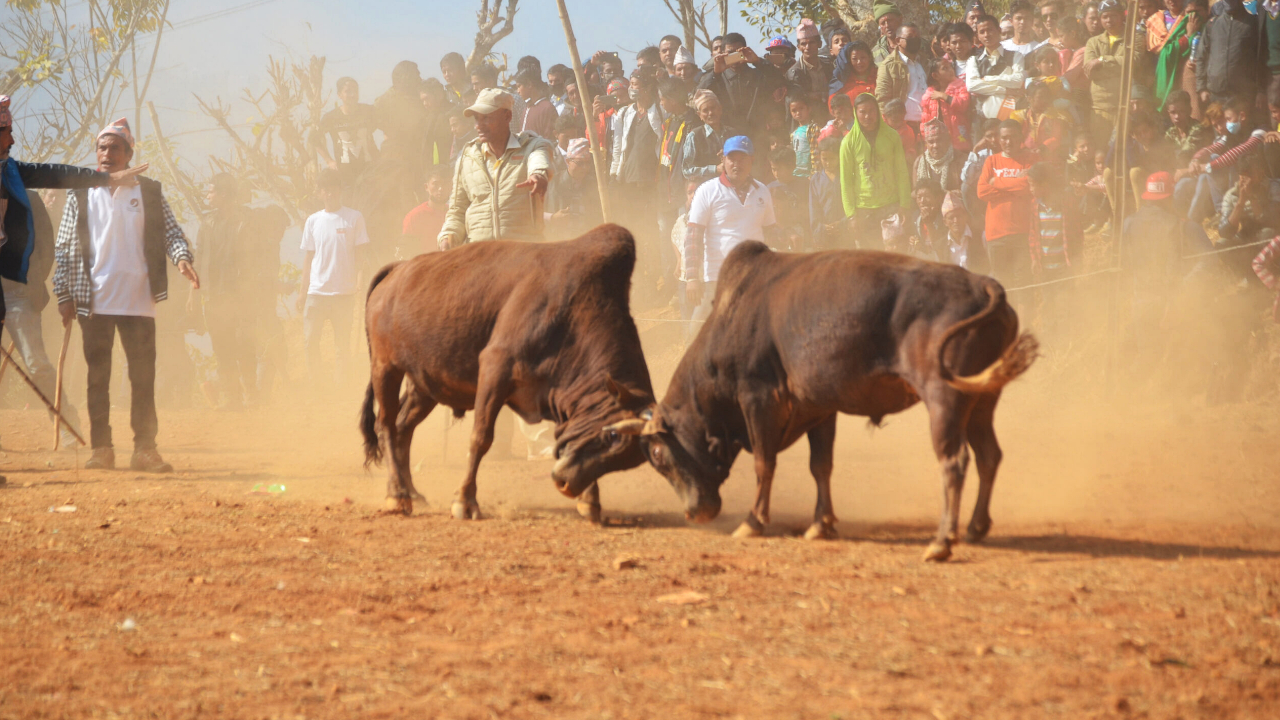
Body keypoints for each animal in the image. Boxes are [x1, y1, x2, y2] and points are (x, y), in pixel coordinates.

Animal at [360, 224, 655, 521]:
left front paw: (590, 501)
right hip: (385, 369)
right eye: (613, 437)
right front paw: (465, 500)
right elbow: (480, 438)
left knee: (403, 428)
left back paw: (412, 493)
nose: (566, 484)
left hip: (424, 386)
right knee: (386, 426)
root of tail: (397, 270)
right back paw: (397, 495)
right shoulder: (495, 370)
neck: (573, 311)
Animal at [608, 243, 1038, 561]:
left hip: (945, 398)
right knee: (988, 455)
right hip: (982, 402)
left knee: (955, 462)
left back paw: (941, 541)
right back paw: (976, 527)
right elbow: (821, 466)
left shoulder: (758, 400)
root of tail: (983, 284)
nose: (694, 512)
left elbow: (764, 464)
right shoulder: (819, 409)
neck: (732, 320)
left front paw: (753, 521)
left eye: (658, 455)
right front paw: (821, 523)